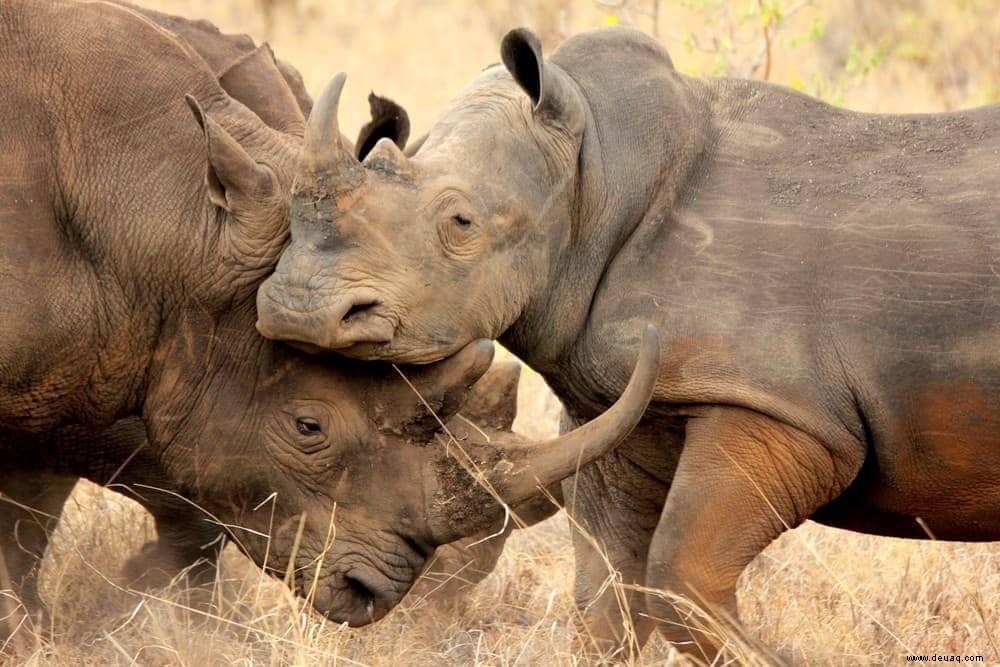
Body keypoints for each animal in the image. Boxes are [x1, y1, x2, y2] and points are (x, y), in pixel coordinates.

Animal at [258, 24, 1000, 656]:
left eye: (461, 223)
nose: (297, 307)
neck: (600, 173)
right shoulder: (619, 404)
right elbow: (608, 594)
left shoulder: (783, 408)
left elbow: (680, 577)